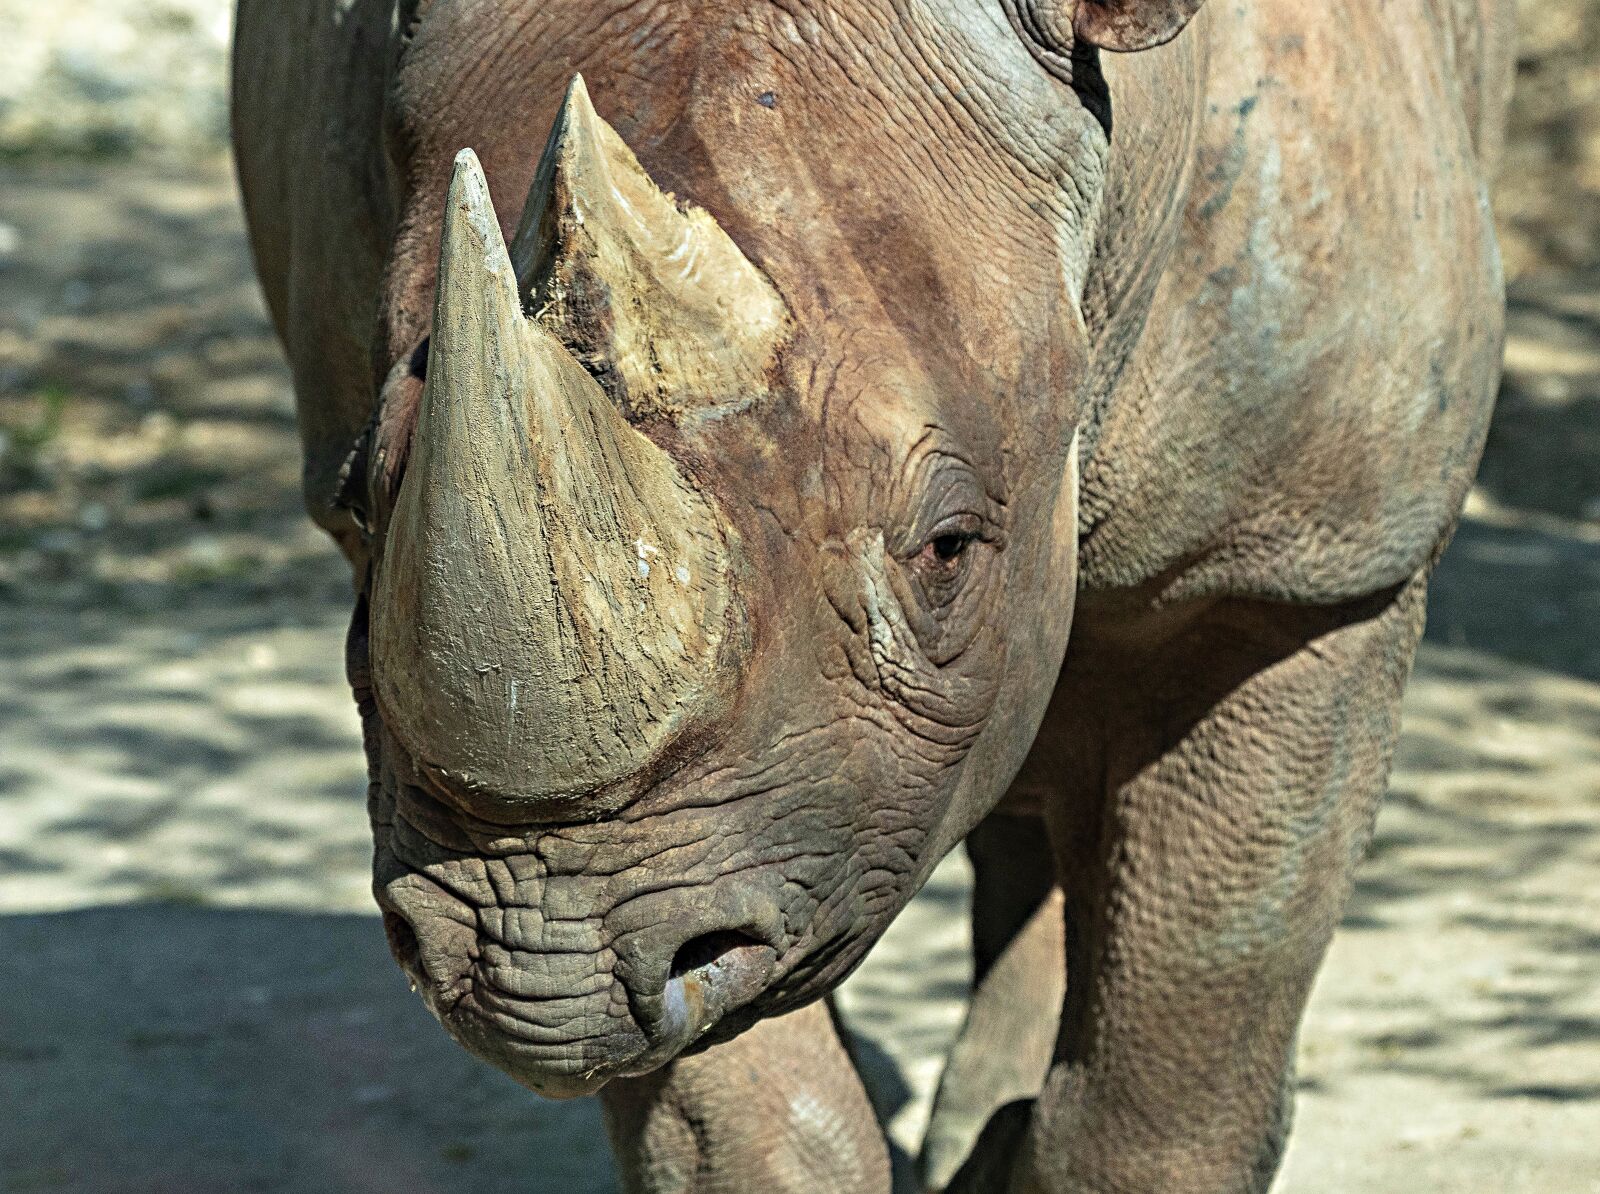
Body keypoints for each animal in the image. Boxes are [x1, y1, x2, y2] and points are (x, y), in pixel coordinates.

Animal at [232, 1, 1513, 1189]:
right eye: (357, 502)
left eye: (947, 549)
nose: (534, 961)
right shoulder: (723, 837)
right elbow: (749, 1124)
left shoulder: (1303, 565)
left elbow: (1166, 1100)